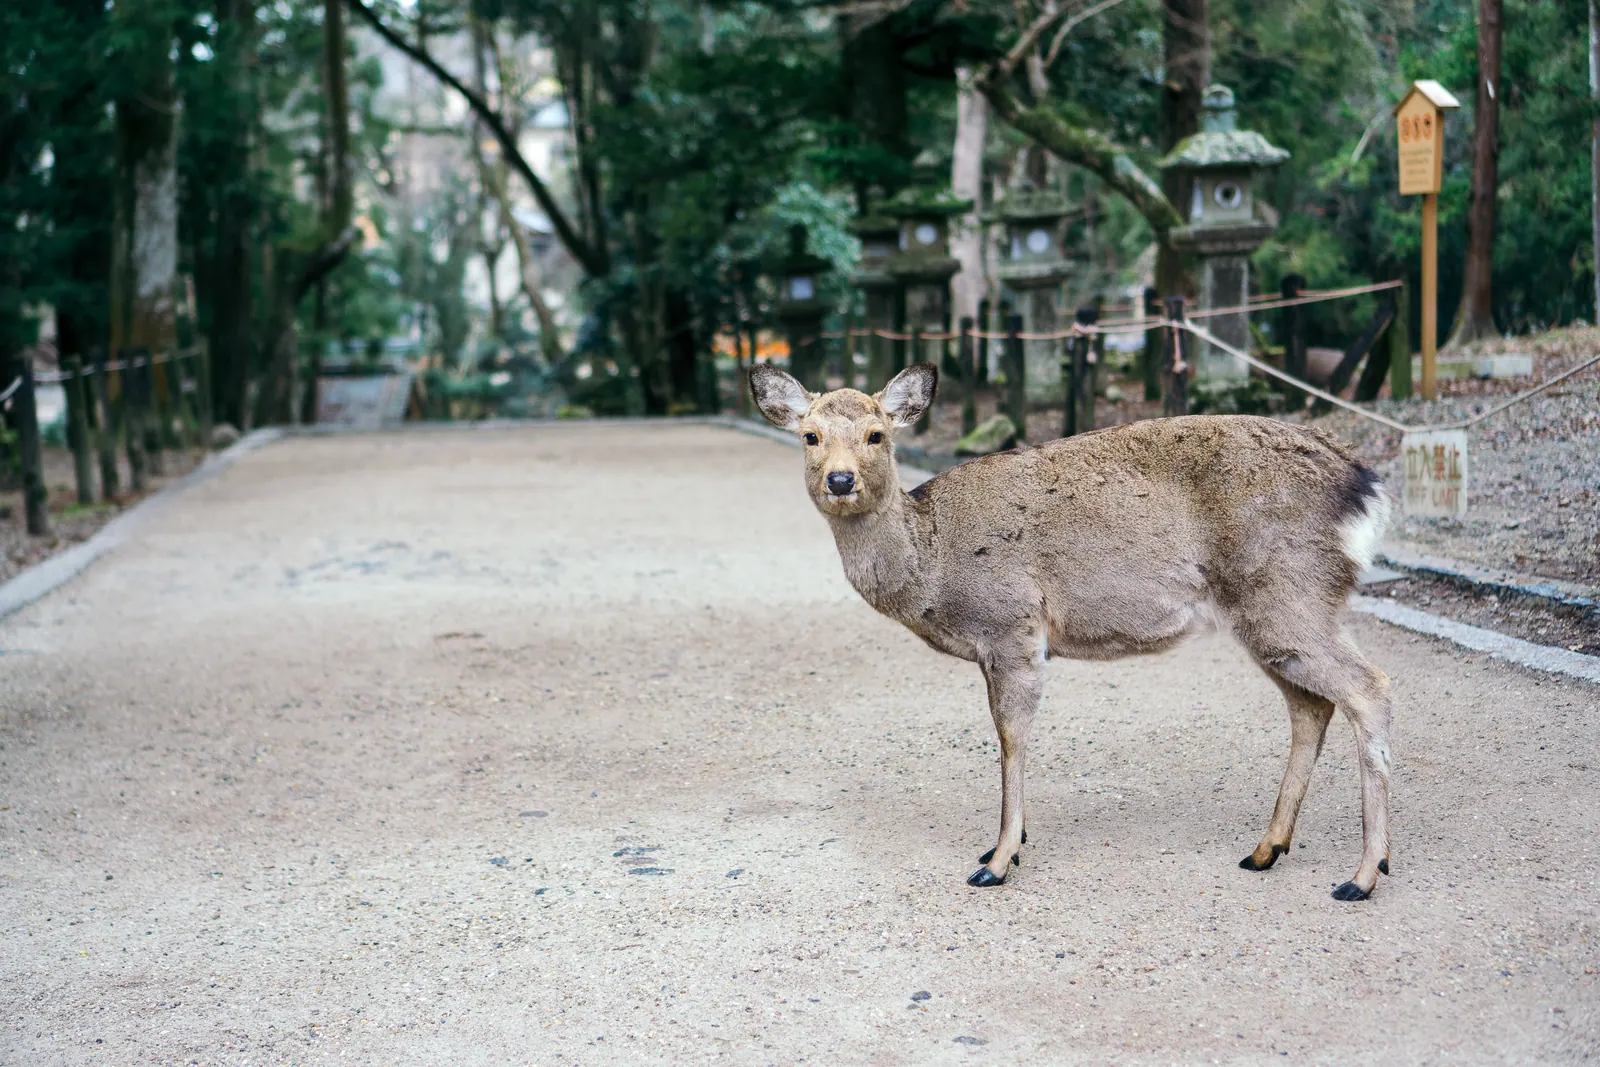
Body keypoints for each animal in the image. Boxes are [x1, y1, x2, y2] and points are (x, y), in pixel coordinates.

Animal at [749, 361, 1396, 901]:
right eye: (810, 436)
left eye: (876, 435)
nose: (839, 481)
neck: (932, 569)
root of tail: (1365, 487)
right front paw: (1005, 845)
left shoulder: (1010, 624)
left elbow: (1010, 736)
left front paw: (997, 861)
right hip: (1273, 614)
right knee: (1311, 705)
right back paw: (1266, 850)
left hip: (1287, 591)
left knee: (1370, 687)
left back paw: (1363, 875)